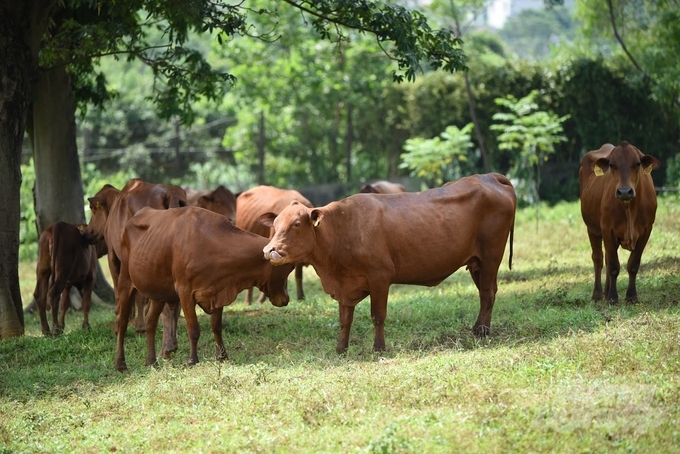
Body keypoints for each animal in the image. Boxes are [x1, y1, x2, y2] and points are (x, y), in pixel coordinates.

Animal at [83, 177, 187, 354]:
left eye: (93, 210)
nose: (86, 232)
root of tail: (169, 193)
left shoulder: (113, 257)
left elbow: (122, 293)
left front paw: (126, 326)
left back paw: (167, 347)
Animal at [112, 207, 294, 370]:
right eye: (289, 268)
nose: (285, 299)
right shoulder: (185, 292)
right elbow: (193, 329)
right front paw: (193, 360)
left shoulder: (220, 290)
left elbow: (217, 326)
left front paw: (222, 356)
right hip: (125, 280)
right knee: (122, 321)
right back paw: (120, 364)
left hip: (158, 291)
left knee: (151, 322)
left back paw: (151, 362)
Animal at [260, 172, 516, 352]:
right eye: (276, 224)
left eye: (296, 224)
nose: (269, 250)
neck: (342, 229)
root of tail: (488, 176)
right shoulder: (345, 286)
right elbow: (345, 319)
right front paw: (341, 348)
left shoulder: (380, 277)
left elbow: (378, 315)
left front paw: (379, 348)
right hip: (476, 262)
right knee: (488, 291)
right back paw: (478, 328)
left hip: (491, 255)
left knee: (487, 293)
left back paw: (482, 331)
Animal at [580, 141, 660, 302]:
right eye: (612, 165)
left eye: (637, 164)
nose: (624, 191)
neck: (629, 208)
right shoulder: (607, 229)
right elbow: (613, 267)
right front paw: (612, 297)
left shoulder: (646, 230)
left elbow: (633, 265)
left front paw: (631, 296)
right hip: (592, 229)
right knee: (598, 259)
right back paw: (598, 294)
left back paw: (605, 291)